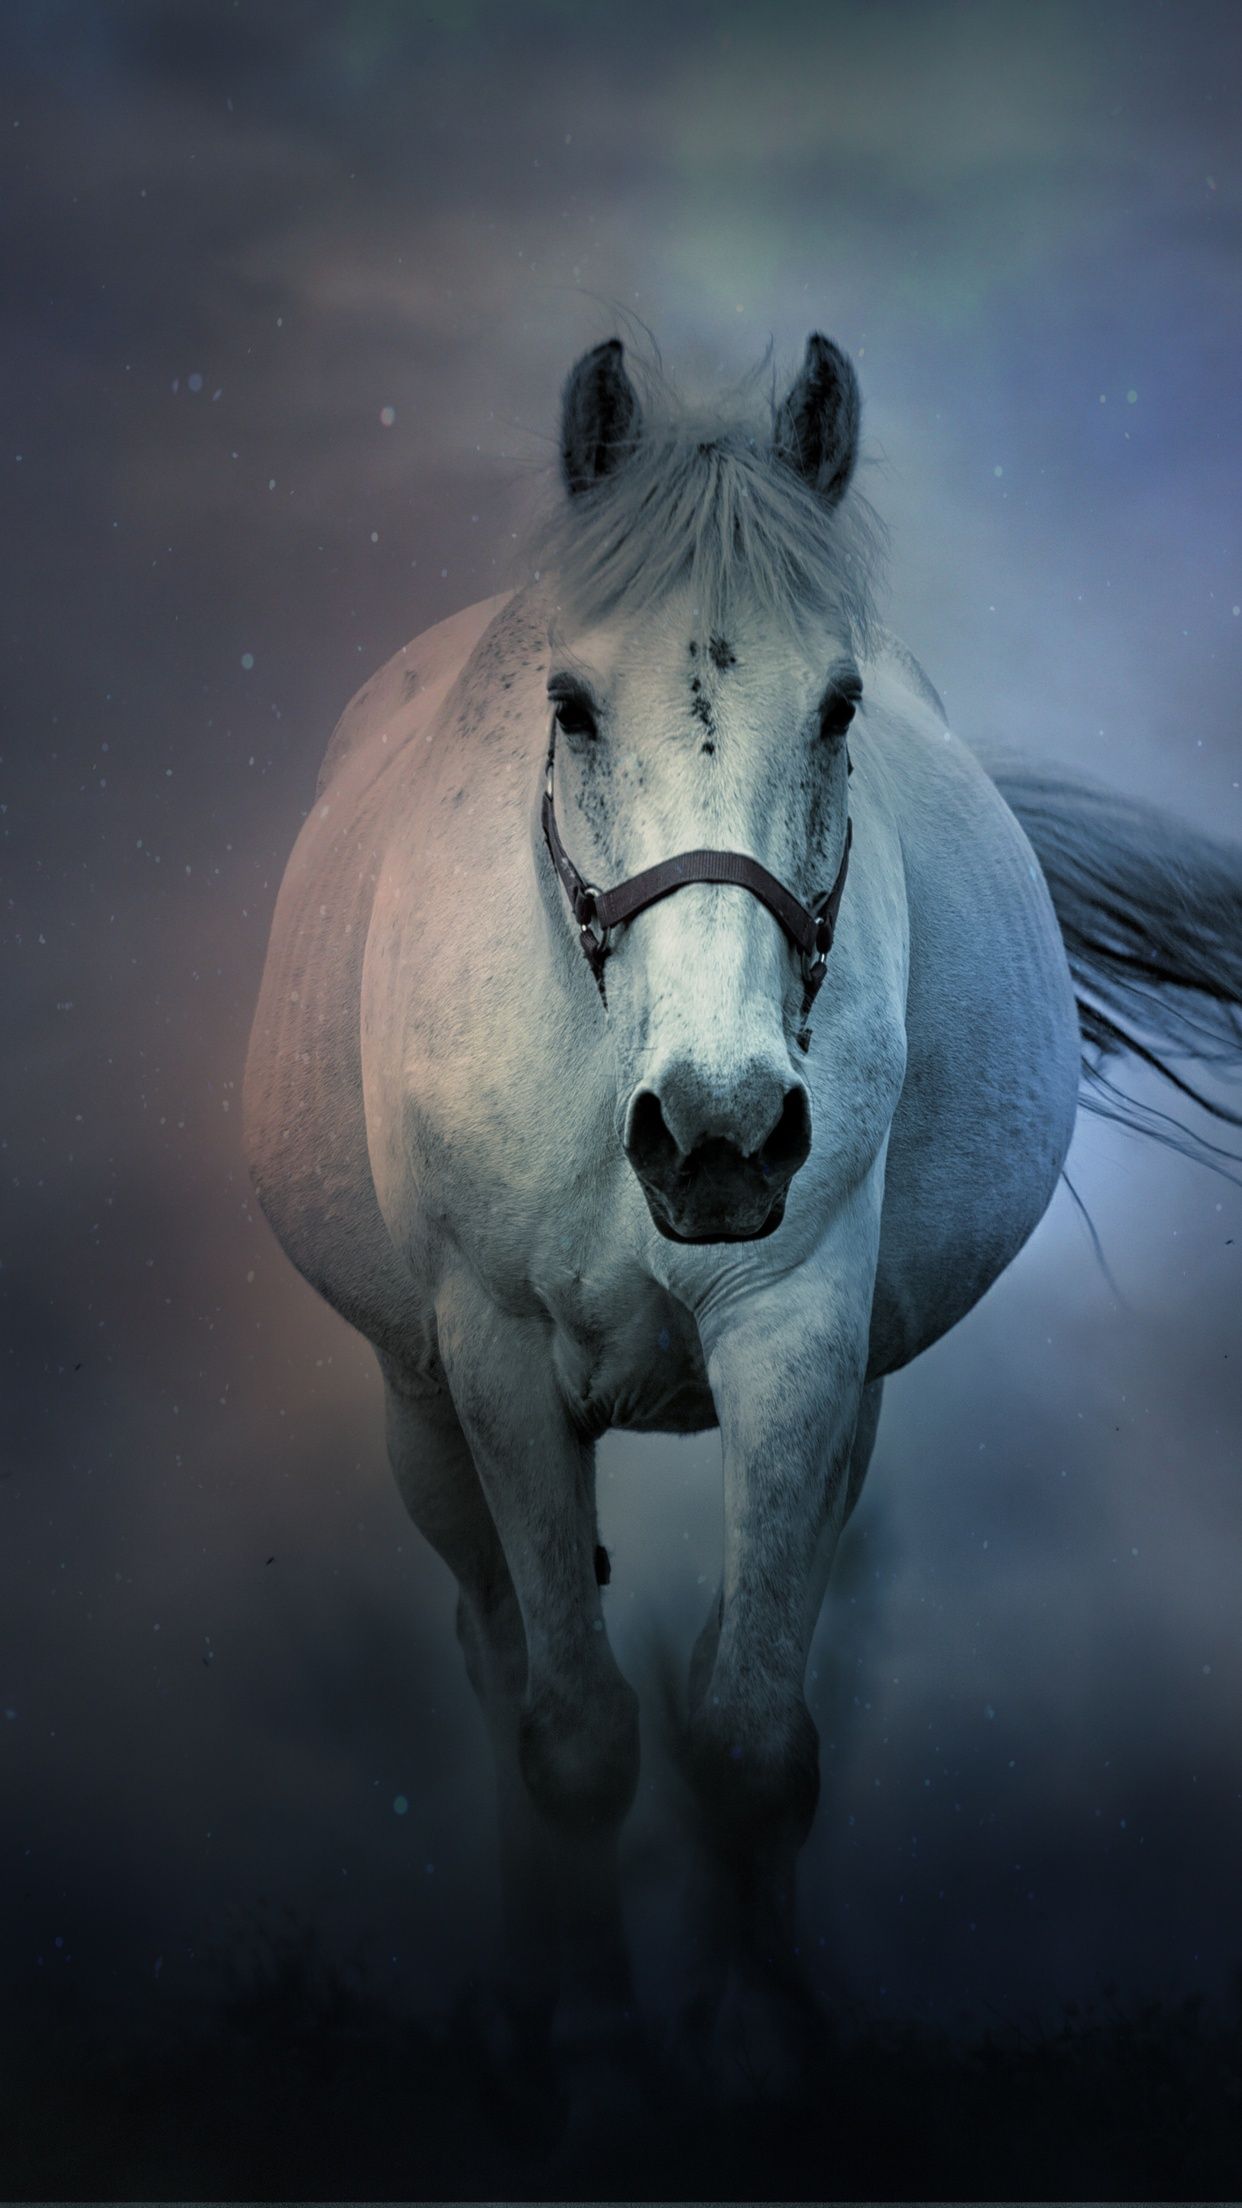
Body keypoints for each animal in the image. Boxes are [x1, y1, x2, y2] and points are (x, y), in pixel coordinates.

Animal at [243, 331, 1242, 2087]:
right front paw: (590, 2052)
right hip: (417, 1408)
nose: (716, 1137)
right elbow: (573, 1730)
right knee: (495, 1655)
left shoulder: (798, 1345)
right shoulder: (495, 1361)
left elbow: (753, 1726)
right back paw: (523, 2002)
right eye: (569, 705)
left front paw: (761, 2046)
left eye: (838, 708)